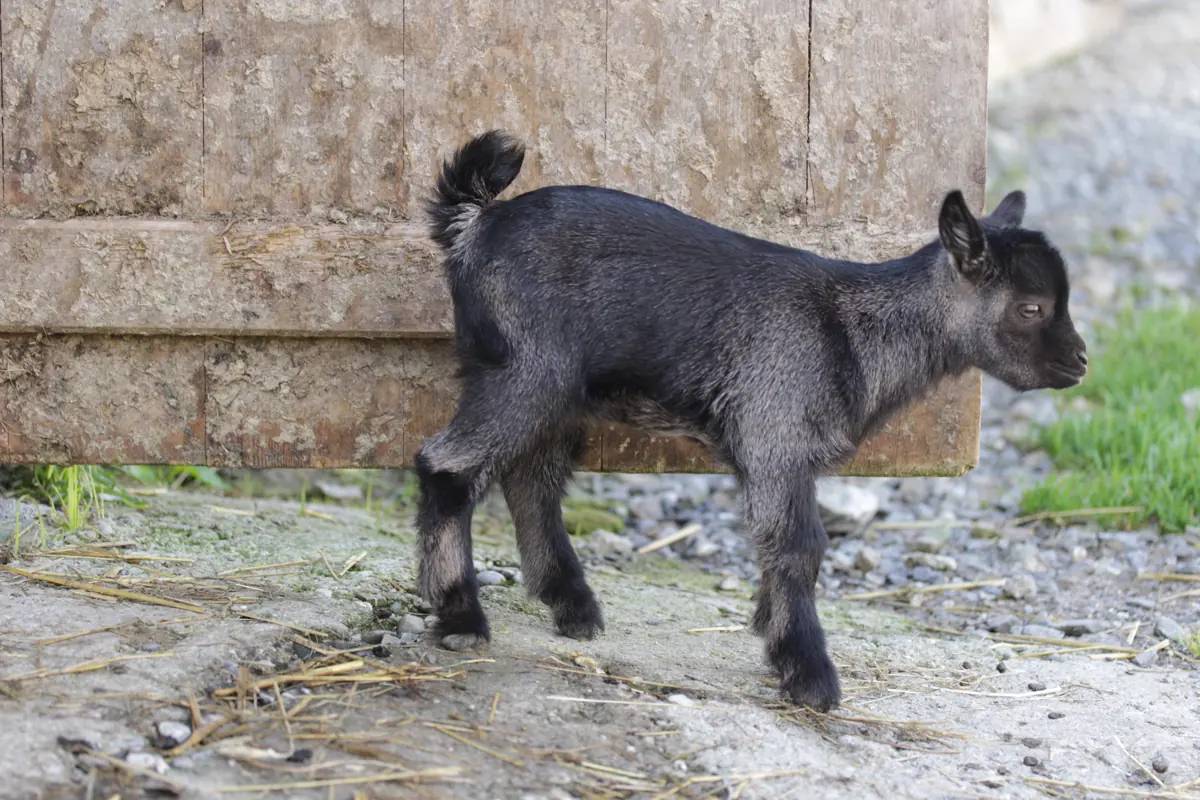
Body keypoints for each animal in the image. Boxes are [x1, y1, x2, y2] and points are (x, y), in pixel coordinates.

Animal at [413, 130, 1088, 711]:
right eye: (1032, 307)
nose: (1079, 362)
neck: (853, 332)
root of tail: (475, 225)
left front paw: (773, 637)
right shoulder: (776, 437)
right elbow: (797, 545)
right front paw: (807, 673)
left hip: (557, 389)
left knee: (532, 480)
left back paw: (572, 606)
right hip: (526, 367)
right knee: (448, 466)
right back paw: (461, 616)